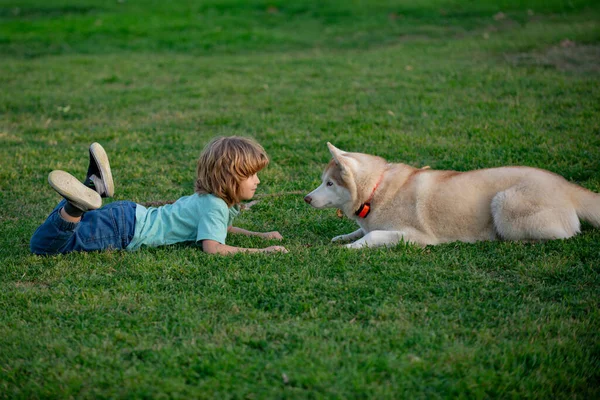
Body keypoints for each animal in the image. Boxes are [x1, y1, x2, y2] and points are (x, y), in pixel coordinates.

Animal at [304, 142, 600, 248]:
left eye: (329, 183)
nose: (306, 198)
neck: (376, 192)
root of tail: (565, 185)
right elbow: (361, 230)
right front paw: (344, 237)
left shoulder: (414, 237)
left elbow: (373, 235)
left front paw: (350, 247)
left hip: (504, 205)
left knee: (565, 234)